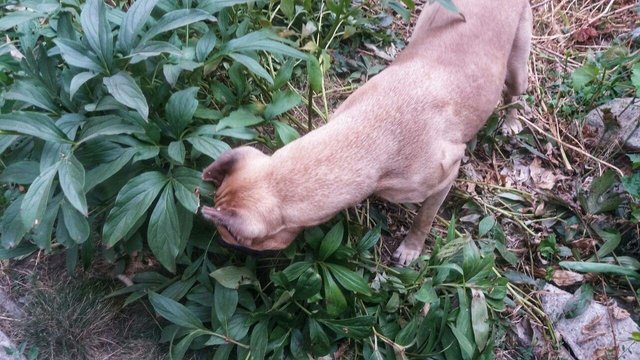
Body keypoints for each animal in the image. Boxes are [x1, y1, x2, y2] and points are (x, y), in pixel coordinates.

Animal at [200, 0, 528, 264]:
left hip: (518, 64)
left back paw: (511, 122)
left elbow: (424, 218)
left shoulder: (446, 174)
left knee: (514, 94)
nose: (220, 248)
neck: (368, 135)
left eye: (230, 237)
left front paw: (411, 248)